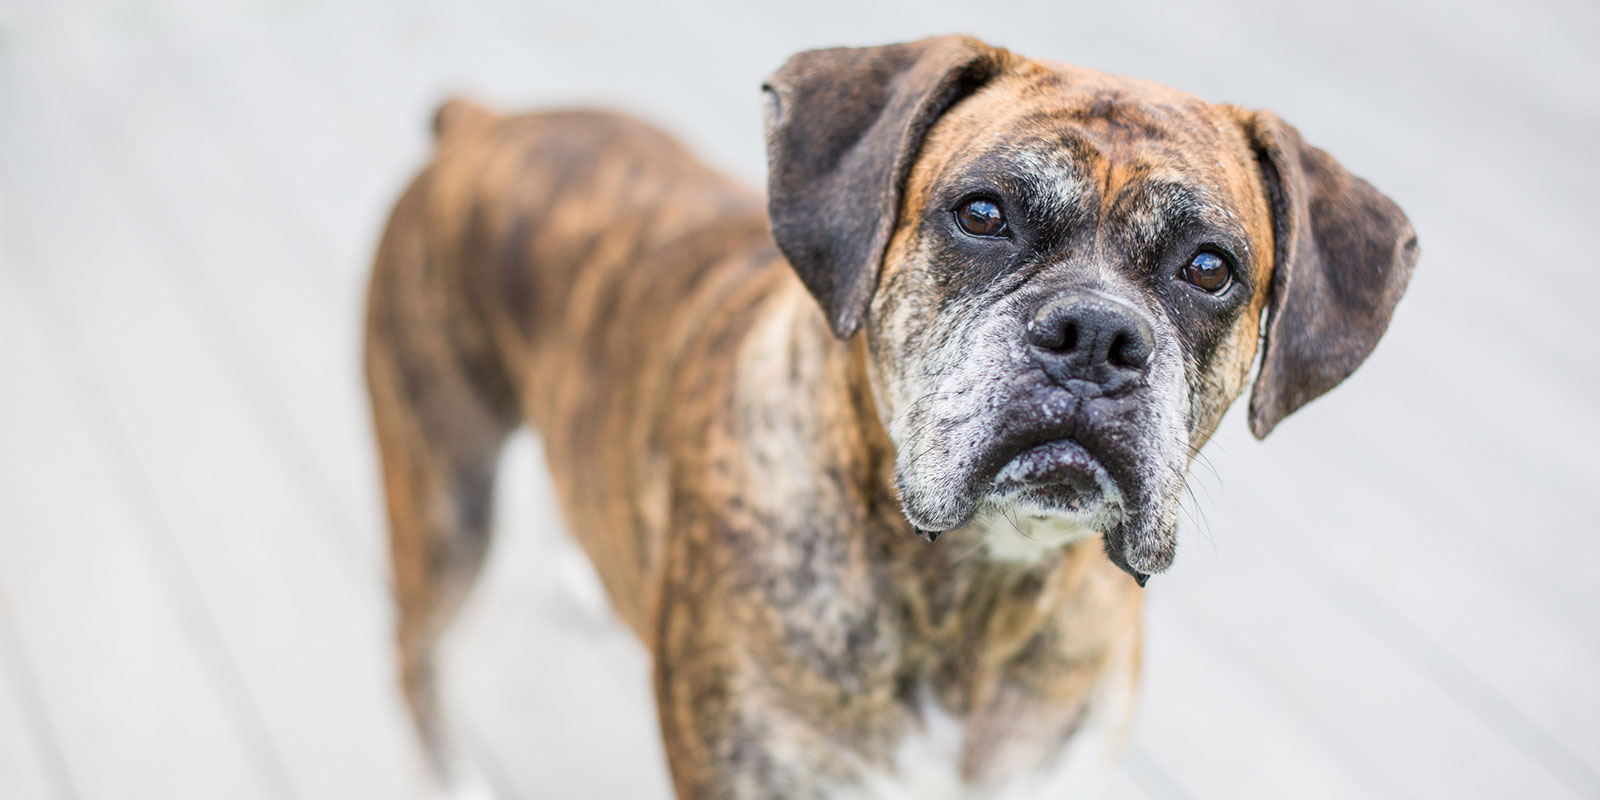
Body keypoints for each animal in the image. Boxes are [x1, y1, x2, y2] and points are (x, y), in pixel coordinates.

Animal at [363, 32, 1414, 800]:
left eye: (1209, 268)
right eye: (982, 214)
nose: (1097, 335)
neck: (976, 598)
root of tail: (480, 126)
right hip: (445, 505)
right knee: (412, 657)